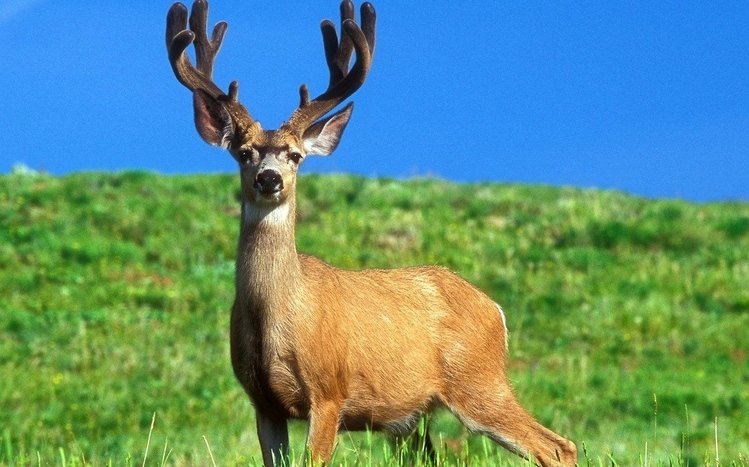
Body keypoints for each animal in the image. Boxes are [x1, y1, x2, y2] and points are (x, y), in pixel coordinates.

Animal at [165, 1, 577, 465]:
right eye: (244, 153)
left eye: (295, 156)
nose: (269, 179)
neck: (276, 316)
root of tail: (495, 310)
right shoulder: (262, 401)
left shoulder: (328, 391)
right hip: (414, 417)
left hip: (479, 381)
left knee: (557, 446)